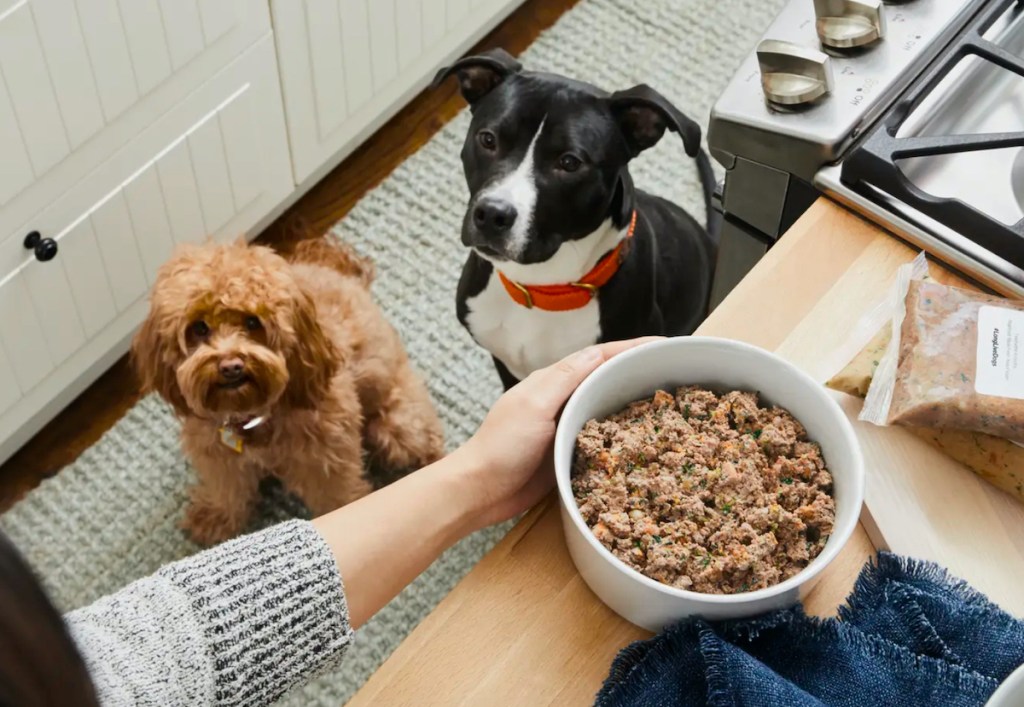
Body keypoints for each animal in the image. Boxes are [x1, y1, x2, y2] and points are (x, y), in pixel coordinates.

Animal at [132, 237, 444, 545]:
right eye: (199, 328)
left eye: (253, 322)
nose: (231, 366)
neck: (254, 416)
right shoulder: (217, 452)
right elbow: (227, 489)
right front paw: (215, 517)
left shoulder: (326, 458)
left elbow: (336, 497)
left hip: (399, 427)